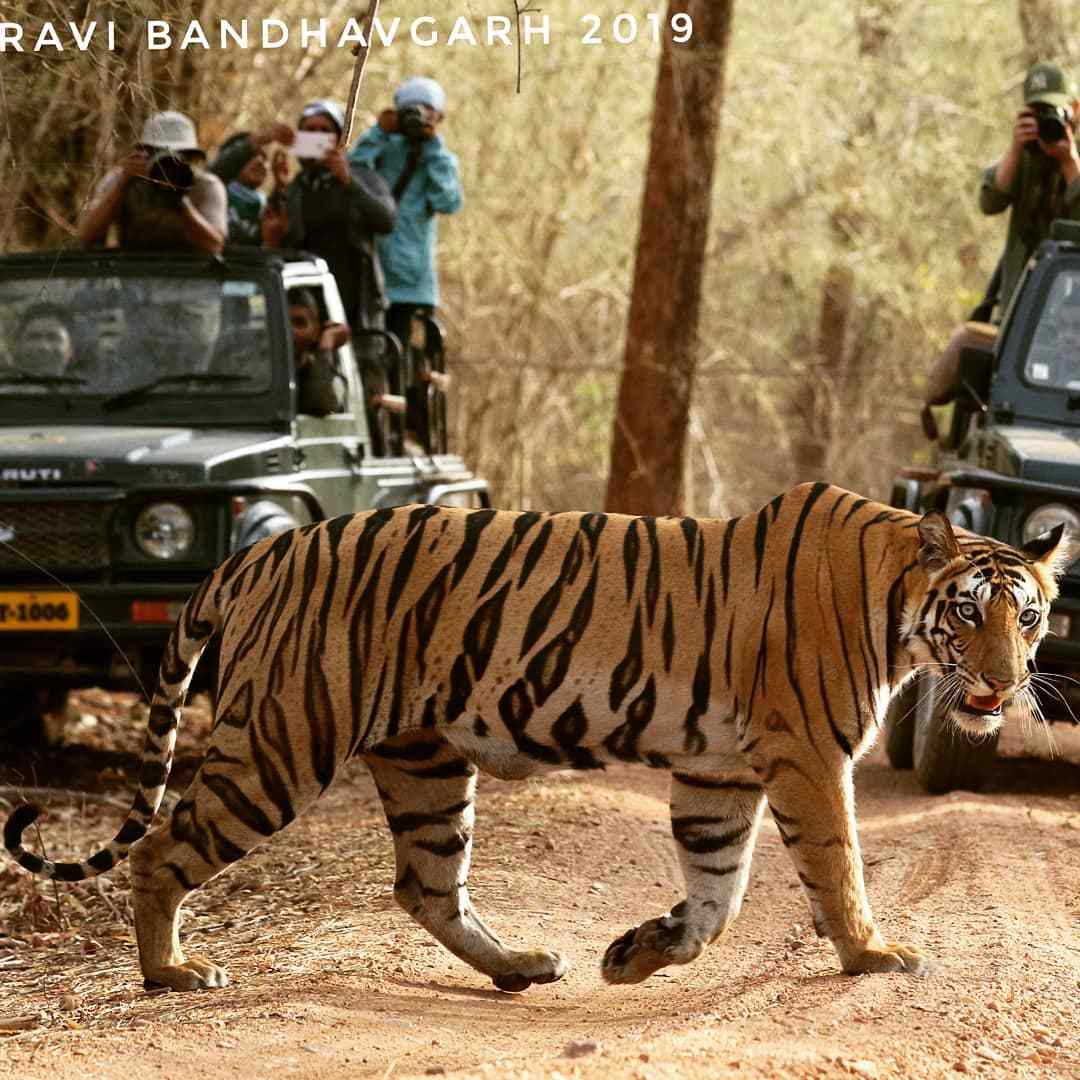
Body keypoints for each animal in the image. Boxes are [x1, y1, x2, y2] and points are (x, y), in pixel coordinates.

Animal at [3, 482, 1067, 993]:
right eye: (969, 614)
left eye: (1030, 617)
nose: (1007, 683)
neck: (892, 604)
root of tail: (265, 548)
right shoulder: (805, 756)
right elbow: (837, 866)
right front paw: (873, 956)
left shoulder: (718, 771)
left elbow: (717, 894)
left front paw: (638, 953)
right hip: (279, 743)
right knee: (163, 849)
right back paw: (170, 973)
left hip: (424, 762)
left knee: (426, 885)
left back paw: (519, 967)